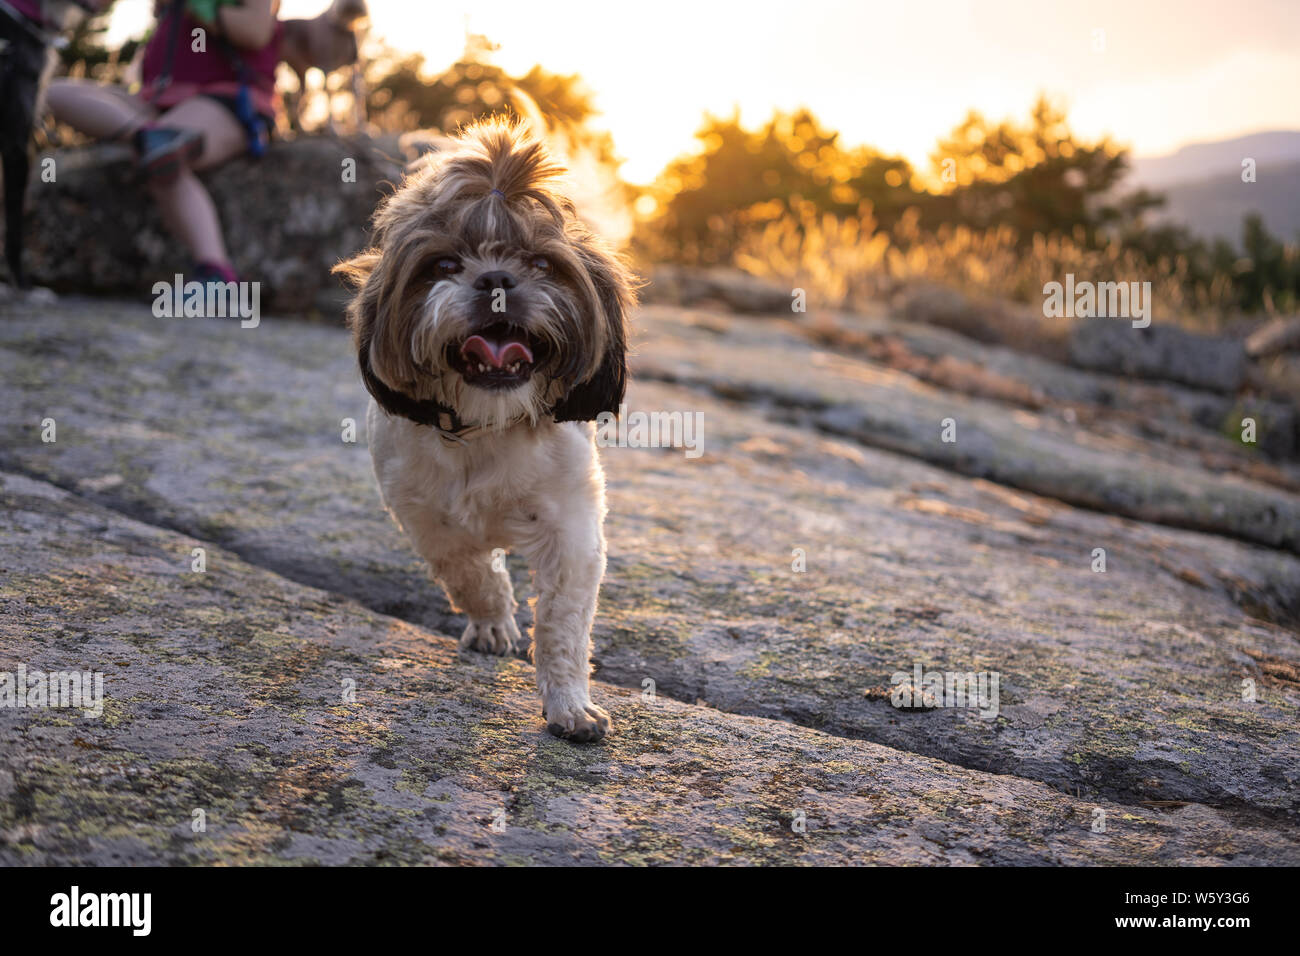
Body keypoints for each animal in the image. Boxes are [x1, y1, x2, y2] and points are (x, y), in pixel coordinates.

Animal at [335, 119, 634, 743]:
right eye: (444, 266)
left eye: (542, 264)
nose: (496, 277)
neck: (486, 424)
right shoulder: (423, 514)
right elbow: (468, 571)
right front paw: (494, 619)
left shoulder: (571, 526)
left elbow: (564, 625)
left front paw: (569, 705)